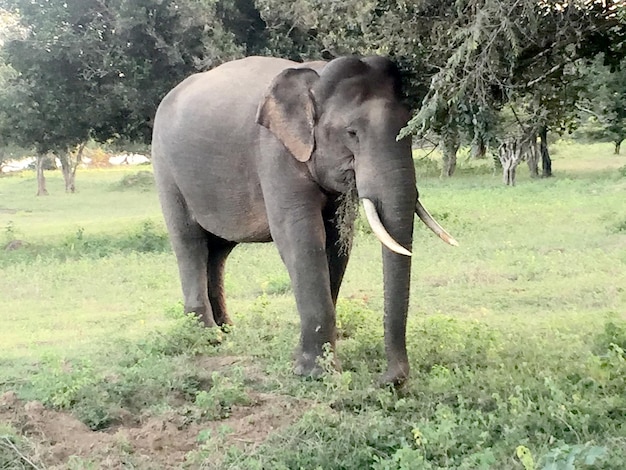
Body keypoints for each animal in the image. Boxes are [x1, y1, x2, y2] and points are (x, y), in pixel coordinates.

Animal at [151, 55, 454, 386]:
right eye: (352, 133)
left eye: (410, 129)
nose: (385, 379)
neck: (315, 77)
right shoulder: (275, 154)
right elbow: (302, 240)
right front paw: (315, 373)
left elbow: (337, 244)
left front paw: (309, 360)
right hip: (166, 168)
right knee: (190, 242)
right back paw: (208, 338)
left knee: (218, 251)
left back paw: (226, 330)